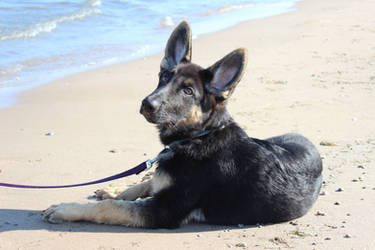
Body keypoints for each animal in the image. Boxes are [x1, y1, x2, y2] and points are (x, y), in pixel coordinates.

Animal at [41, 21, 324, 229]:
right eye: (164, 77)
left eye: (188, 91)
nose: (146, 104)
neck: (198, 136)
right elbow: (143, 184)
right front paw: (117, 189)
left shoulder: (163, 210)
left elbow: (110, 208)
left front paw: (66, 209)